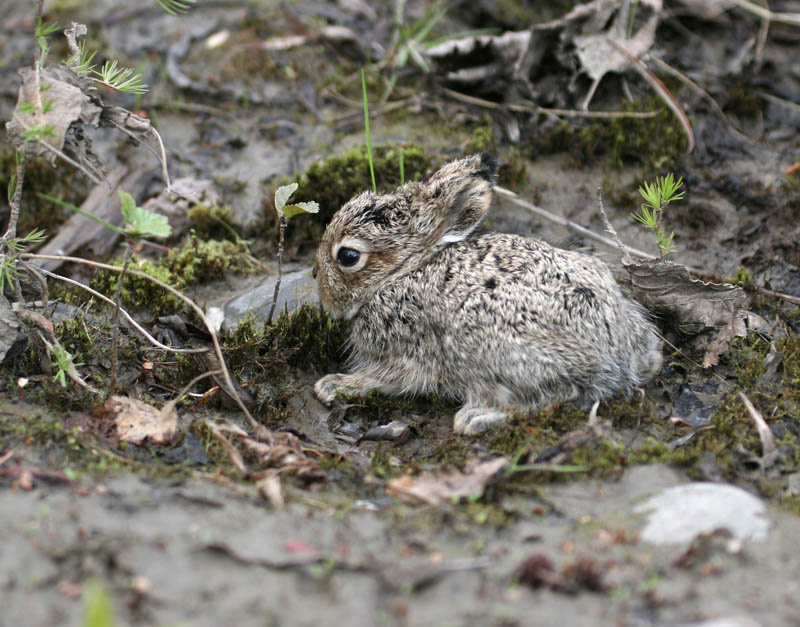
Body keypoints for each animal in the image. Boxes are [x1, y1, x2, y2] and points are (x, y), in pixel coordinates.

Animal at [313, 153, 663, 434]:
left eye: (348, 257)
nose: (317, 280)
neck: (403, 272)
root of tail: (618, 360)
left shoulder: (408, 351)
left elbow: (382, 378)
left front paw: (333, 385)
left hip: (503, 359)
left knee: (558, 396)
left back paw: (475, 418)